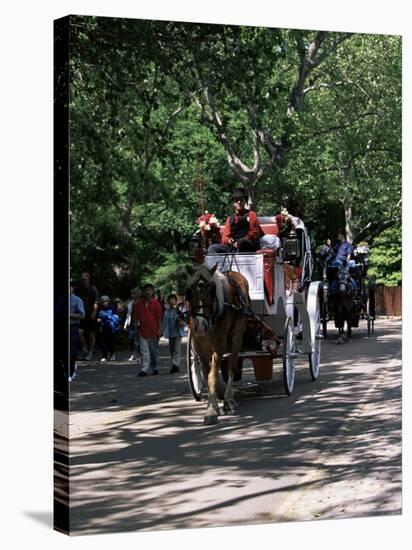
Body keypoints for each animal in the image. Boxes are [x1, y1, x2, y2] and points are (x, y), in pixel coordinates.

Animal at [186, 264, 249, 426]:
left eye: (211, 290)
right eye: (190, 291)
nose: (200, 326)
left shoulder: (219, 346)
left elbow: (211, 376)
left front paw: (211, 411)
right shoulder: (200, 347)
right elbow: (208, 374)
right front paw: (212, 406)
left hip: (237, 336)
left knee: (232, 365)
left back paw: (228, 399)